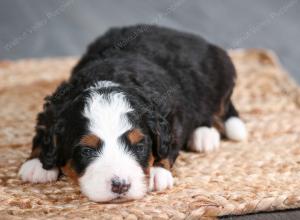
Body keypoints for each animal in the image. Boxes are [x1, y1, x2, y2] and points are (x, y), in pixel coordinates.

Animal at [19, 24, 247, 202]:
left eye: (139, 146)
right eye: (86, 151)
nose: (120, 185)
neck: (107, 78)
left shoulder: (173, 116)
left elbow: (169, 146)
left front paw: (157, 172)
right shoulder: (53, 108)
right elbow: (43, 131)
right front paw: (37, 164)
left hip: (221, 74)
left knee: (216, 108)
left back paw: (204, 135)